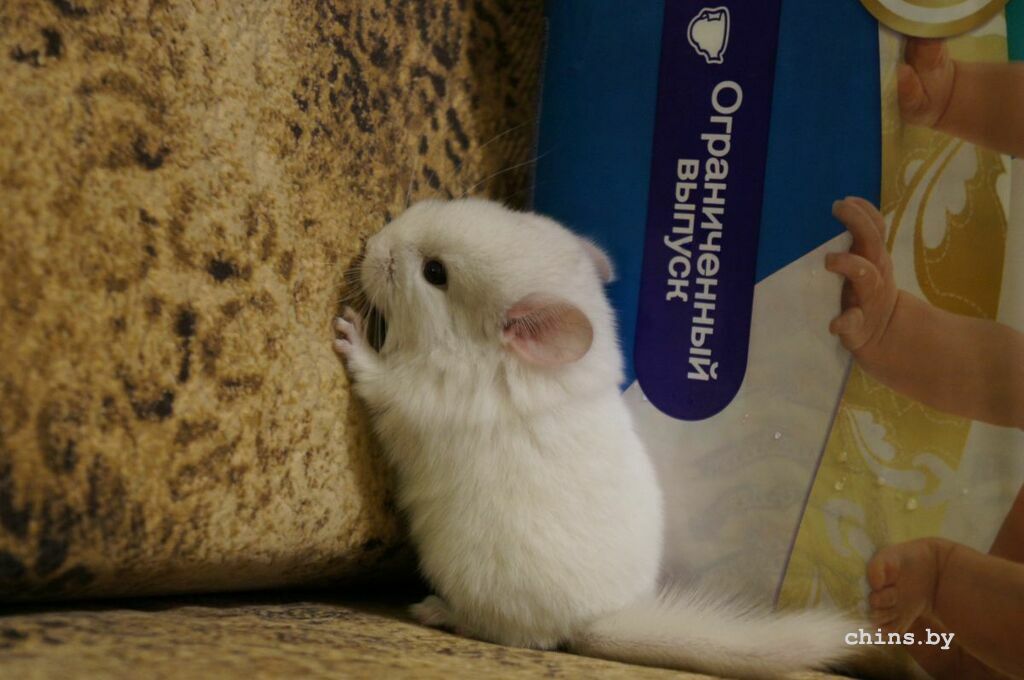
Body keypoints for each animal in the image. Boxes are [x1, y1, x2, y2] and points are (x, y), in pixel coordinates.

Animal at [333, 198, 857, 679]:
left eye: (435, 273)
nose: (372, 243)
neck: (487, 356)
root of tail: (593, 621)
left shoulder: (412, 395)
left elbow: (374, 376)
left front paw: (348, 330)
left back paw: (434, 610)